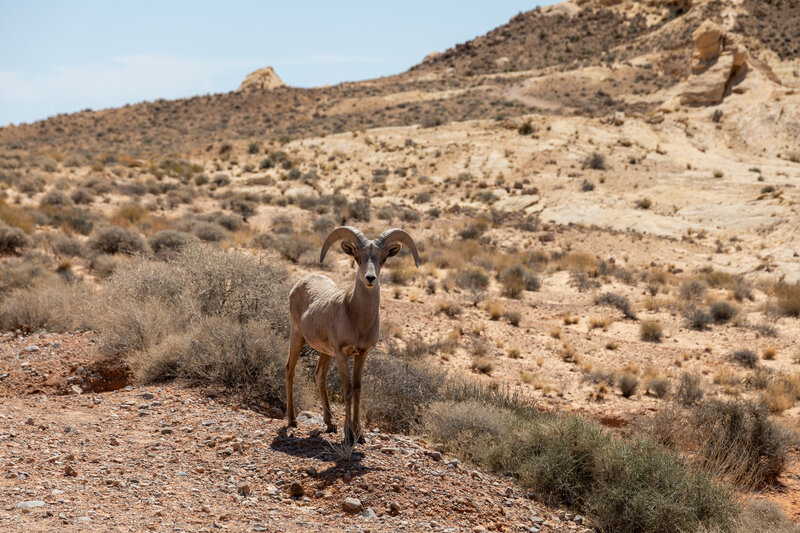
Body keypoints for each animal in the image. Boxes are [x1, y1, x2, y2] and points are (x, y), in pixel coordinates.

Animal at [285, 226, 419, 445]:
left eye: (383, 259)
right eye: (358, 258)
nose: (370, 278)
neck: (357, 319)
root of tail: (300, 283)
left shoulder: (362, 354)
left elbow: (357, 389)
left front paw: (359, 435)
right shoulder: (342, 354)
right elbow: (347, 391)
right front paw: (348, 436)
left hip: (325, 351)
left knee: (319, 375)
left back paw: (330, 424)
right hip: (297, 336)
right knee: (290, 369)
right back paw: (291, 421)